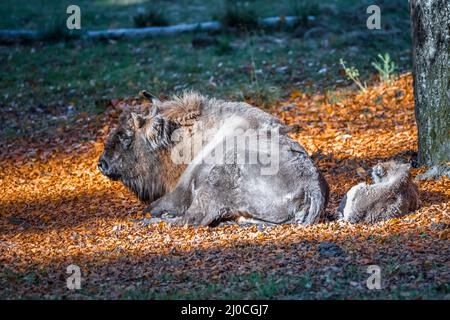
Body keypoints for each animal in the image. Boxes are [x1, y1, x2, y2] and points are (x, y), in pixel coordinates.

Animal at [98, 92, 328, 226]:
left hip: (217, 179)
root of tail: (311, 187)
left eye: (126, 136)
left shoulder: (180, 192)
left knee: (194, 218)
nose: (102, 163)